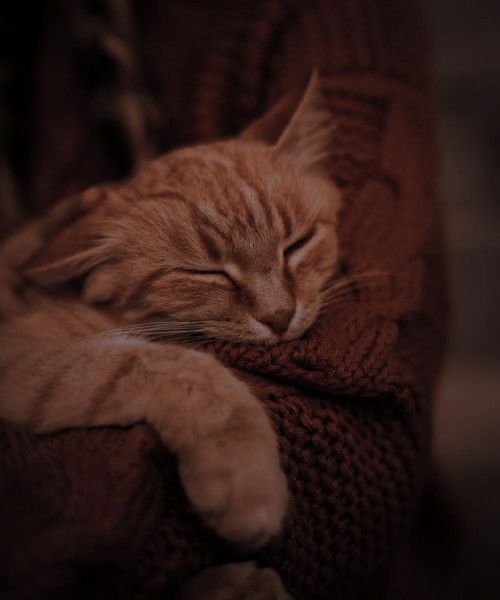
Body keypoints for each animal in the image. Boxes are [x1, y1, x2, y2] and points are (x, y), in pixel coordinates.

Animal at [0, 72, 340, 596]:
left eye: (298, 244)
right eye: (206, 274)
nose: (281, 316)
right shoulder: (23, 357)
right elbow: (168, 367)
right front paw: (245, 480)